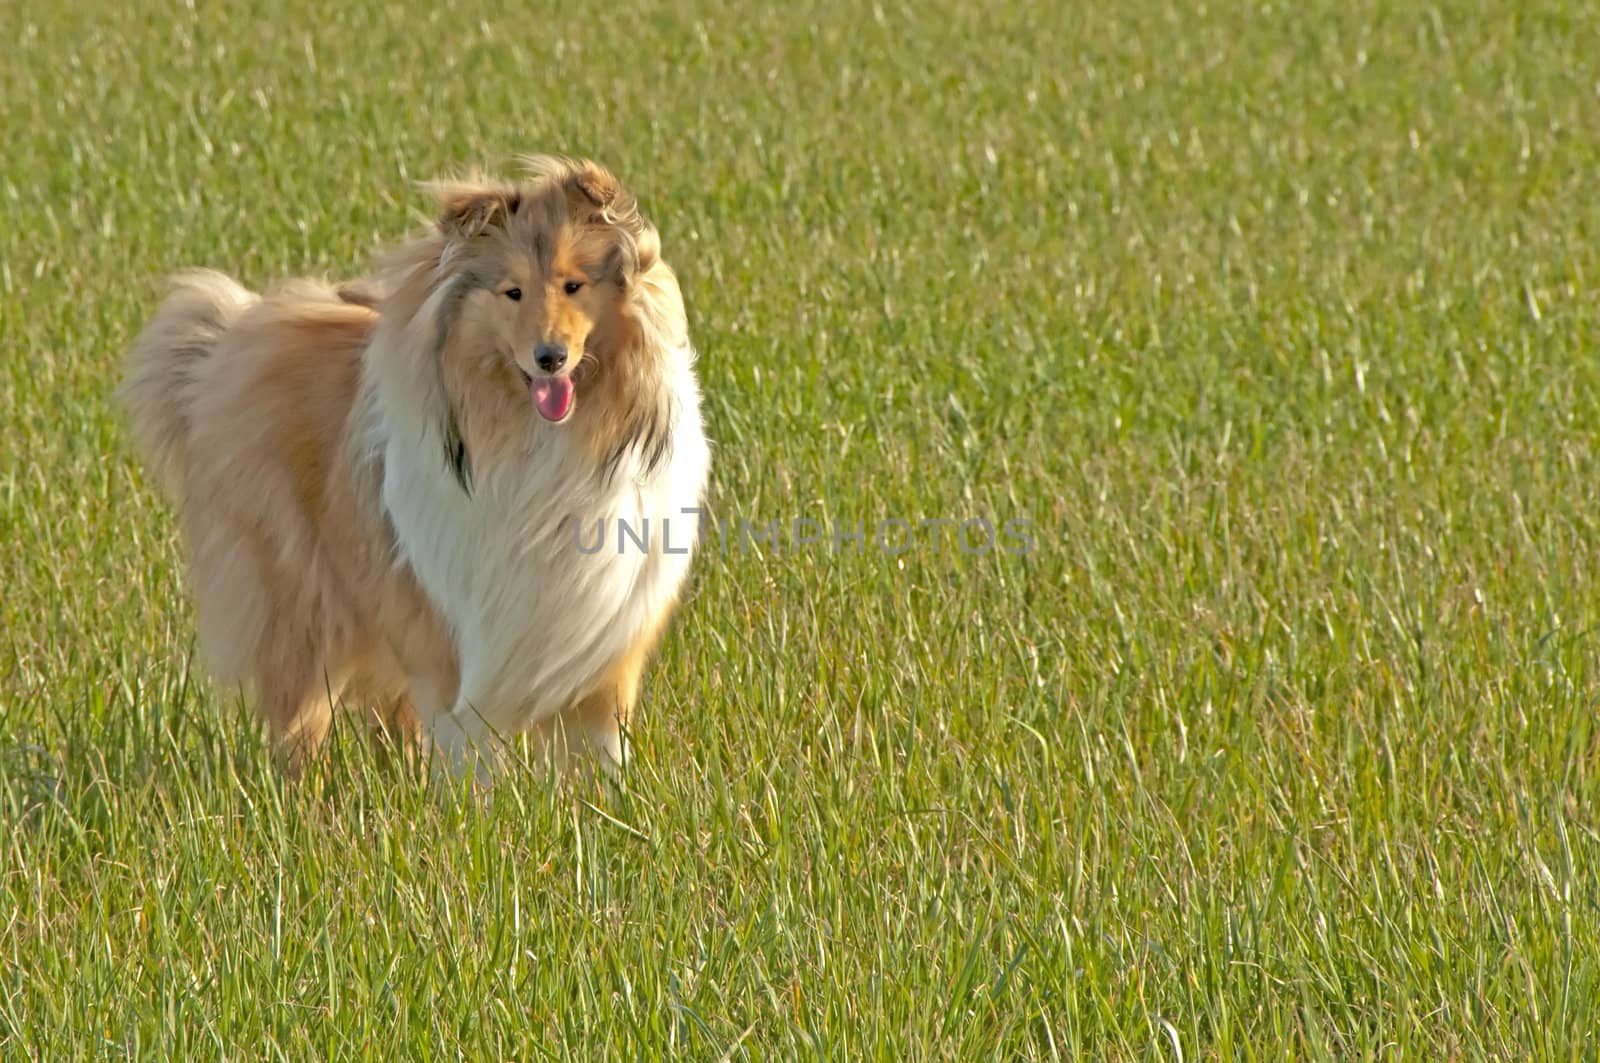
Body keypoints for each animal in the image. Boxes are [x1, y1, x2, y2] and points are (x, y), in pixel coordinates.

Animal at [118, 156, 707, 771]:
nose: (550, 358)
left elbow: (602, 759)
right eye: (512, 292)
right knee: (299, 723)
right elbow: (472, 753)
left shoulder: (602, 650)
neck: (540, 441)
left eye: (574, 285)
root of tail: (231, 334)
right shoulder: (459, 644)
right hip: (299, 602)